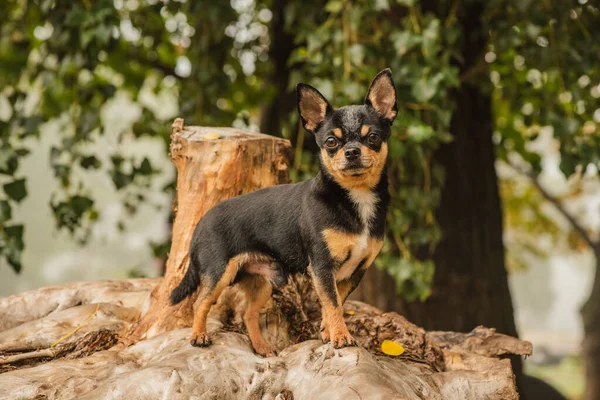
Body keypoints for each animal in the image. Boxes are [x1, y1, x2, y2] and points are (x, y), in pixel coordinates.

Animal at [171, 68, 396, 356]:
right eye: (331, 142)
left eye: (373, 138)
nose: (352, 151)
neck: (355, 198)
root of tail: (201, 223)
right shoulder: (322, 267)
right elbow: (333, 304)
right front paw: (341, 337)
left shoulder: (353, 272)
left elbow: (334, 303)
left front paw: (328, 332)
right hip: (219, 272)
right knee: (201, 303)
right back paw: (199, 336)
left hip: (263, 281)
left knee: (247, 314)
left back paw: (261, 347)